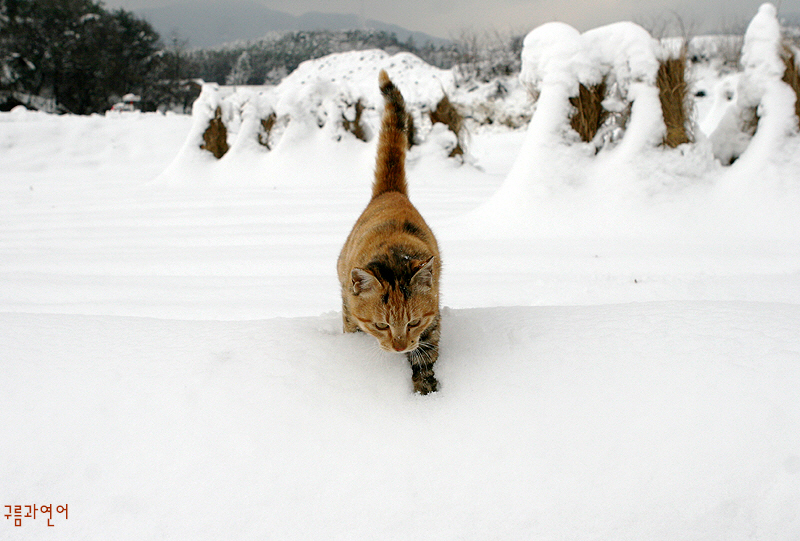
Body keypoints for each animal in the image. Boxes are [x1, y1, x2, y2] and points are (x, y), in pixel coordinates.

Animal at [334, 69, 440, 394]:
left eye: (413, 322)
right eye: (381, 325)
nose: (399, 347)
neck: (394, 254)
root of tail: (391, 192)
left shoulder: (432, 318)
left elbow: (426, 354)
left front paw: (426, 390)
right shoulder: (350, 301)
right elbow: (352, 322)